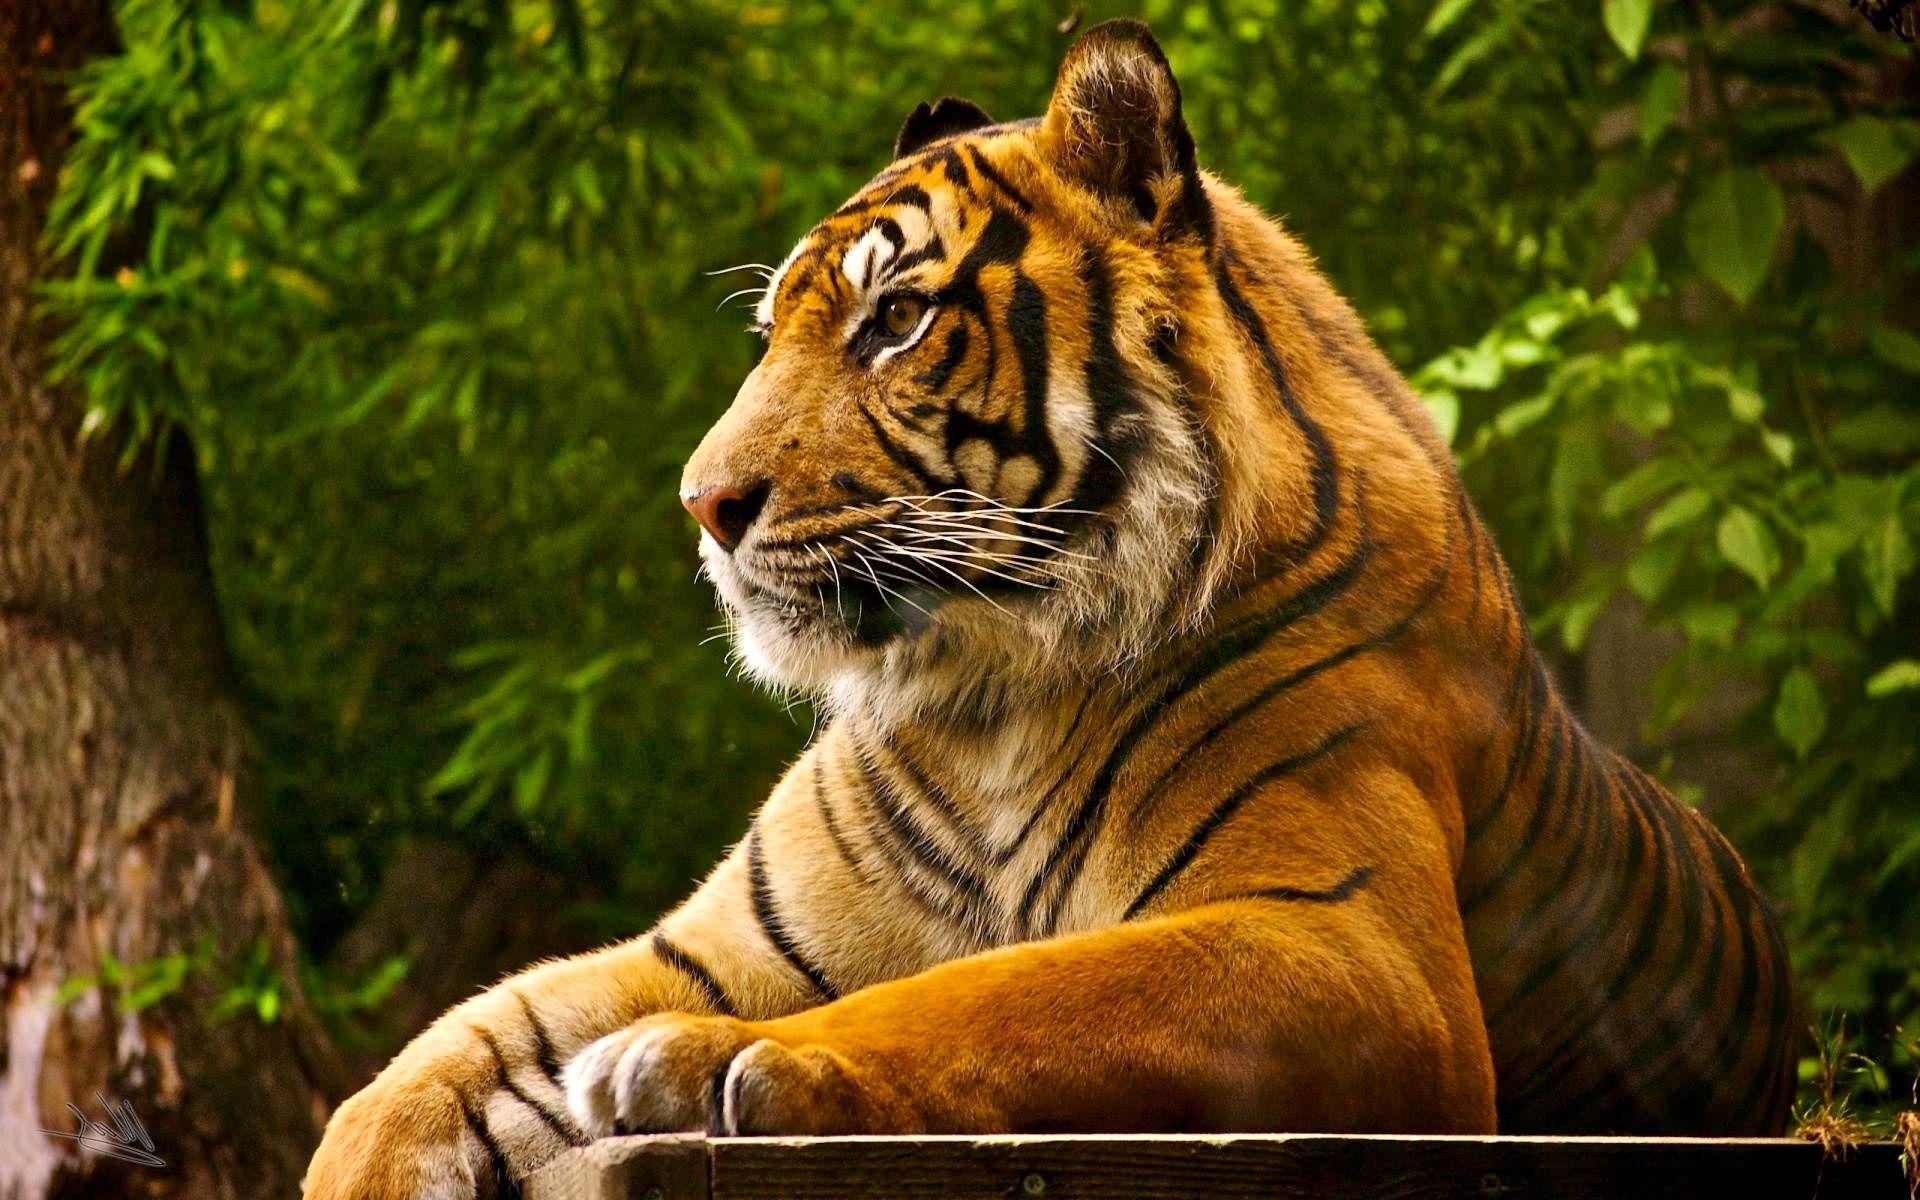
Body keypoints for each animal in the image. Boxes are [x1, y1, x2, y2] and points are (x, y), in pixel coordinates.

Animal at [303, 19, 1798, 1198]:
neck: (985, 694)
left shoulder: (1351, 943)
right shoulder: (714, 942)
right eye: (775, 333)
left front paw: (731, 1060)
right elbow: (434, 1059)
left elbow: (997, 989)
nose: (702, 503)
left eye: (896, 322)